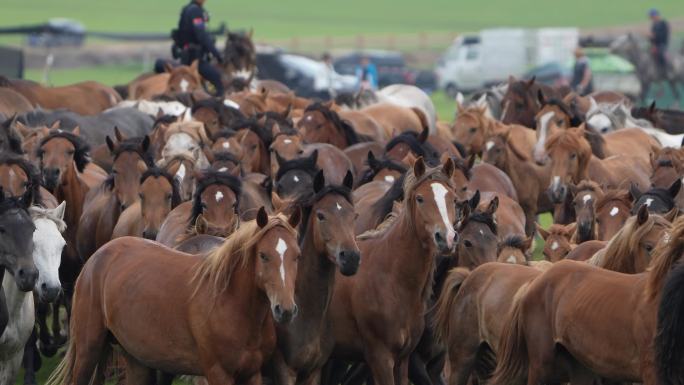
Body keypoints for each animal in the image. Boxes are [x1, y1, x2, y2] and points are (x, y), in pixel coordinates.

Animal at [48, 207, 302, 384]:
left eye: (297, 255)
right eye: (263, 255)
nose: (285, 310)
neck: (230, 303)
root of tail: (95, 260)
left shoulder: (251, 374)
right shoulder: (217, 373)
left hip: (137, 360)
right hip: (88, 351)